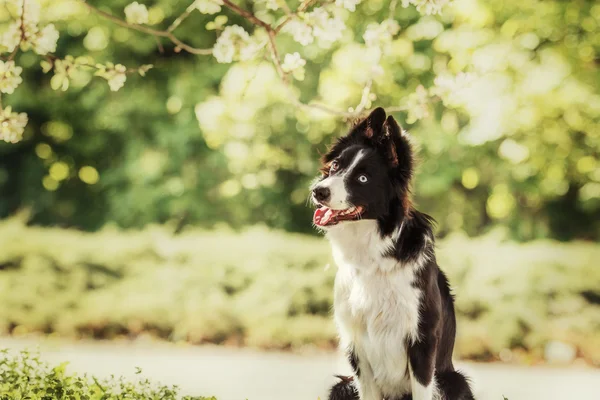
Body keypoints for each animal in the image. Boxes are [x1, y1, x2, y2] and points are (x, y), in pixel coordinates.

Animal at [312, 107, 476, 400]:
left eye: (363, 178)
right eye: (335, 167)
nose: (318, 191)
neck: (372, 254)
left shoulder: (422, 341)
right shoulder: (356, 345)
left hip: (453, 381)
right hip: (342, 386)